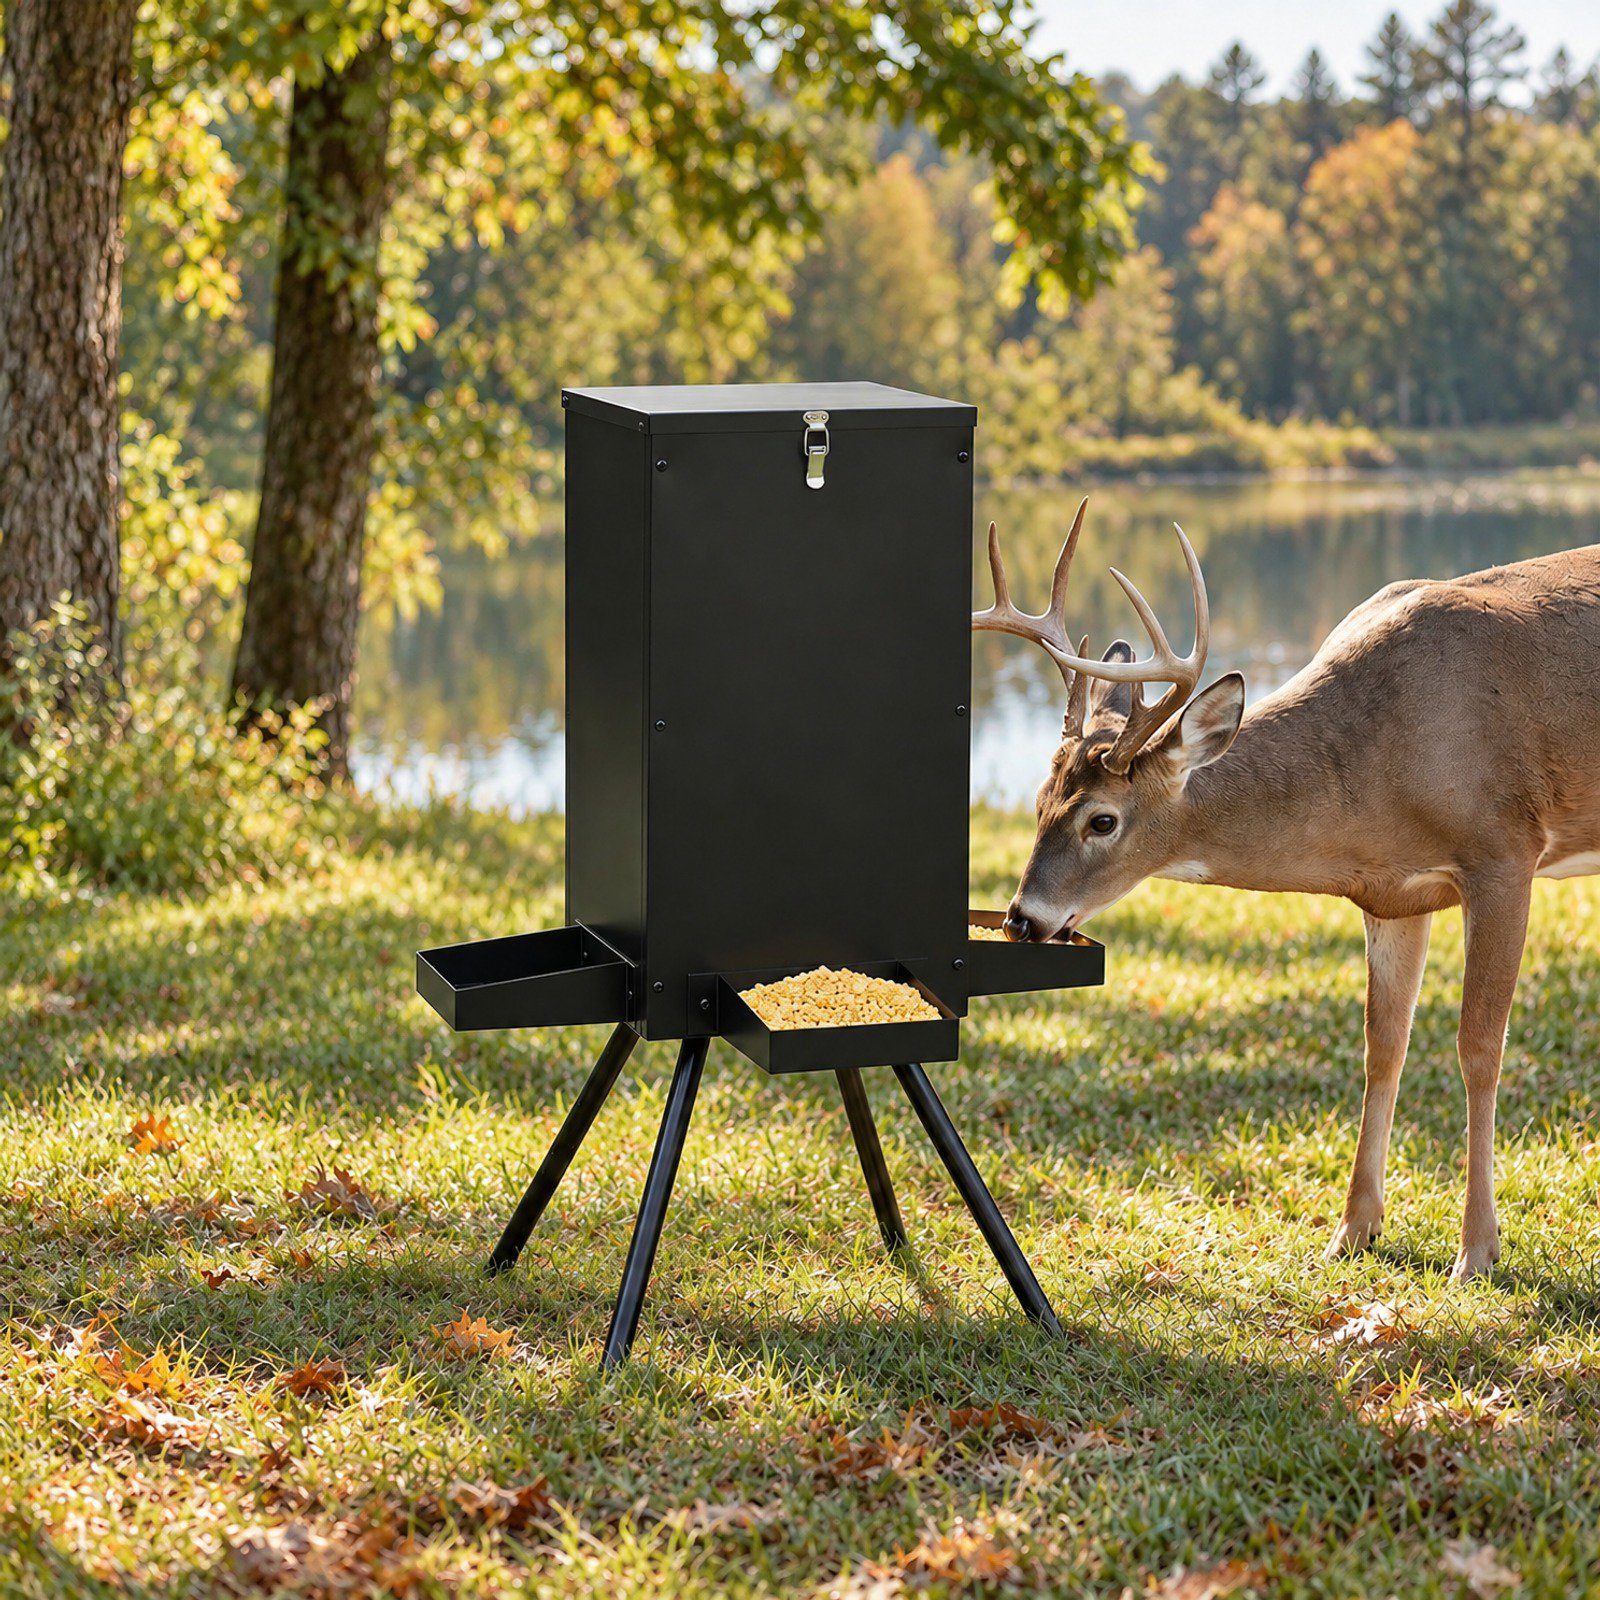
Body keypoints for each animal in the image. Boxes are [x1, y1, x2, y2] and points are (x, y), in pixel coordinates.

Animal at [976, 498, 1600, 1281]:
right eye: (1037, 801)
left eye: (1103, 819)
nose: (1022, 919)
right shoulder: (1395, 895)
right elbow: (1382, 1044)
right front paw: (1353, 1231)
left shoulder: (1504, 853)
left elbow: (1479, 1047)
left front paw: (1477, 1251)